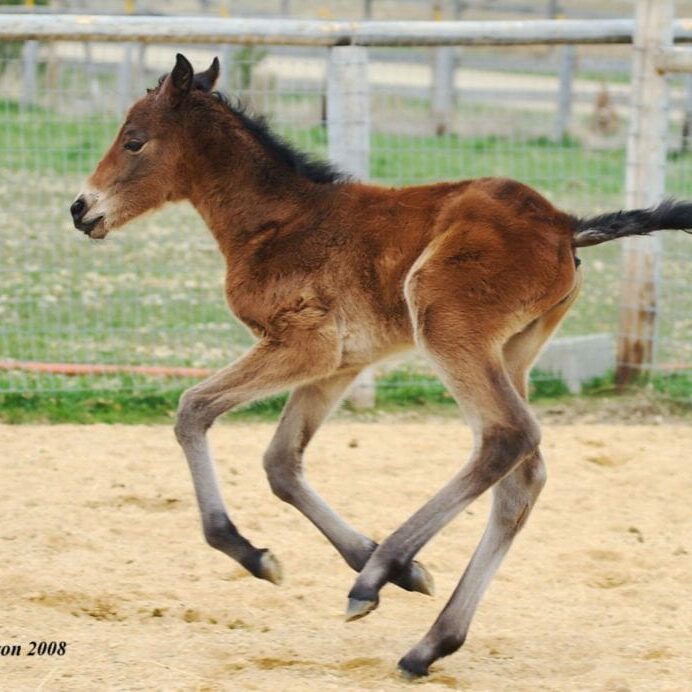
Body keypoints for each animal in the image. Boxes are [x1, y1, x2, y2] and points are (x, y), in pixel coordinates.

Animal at [71, 54, 692, 676]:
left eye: (133, 140)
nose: (80, 209)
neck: (276, 222)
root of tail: (564, 223)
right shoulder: (339, 364)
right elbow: (280, 463)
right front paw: (389, 568)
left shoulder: (304, 346)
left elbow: (193, 409)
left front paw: (252, 552)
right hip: (510, 351)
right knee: (523, 477)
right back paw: (427, 641)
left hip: (447, 328)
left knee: (507, 436)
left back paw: (377, 578)